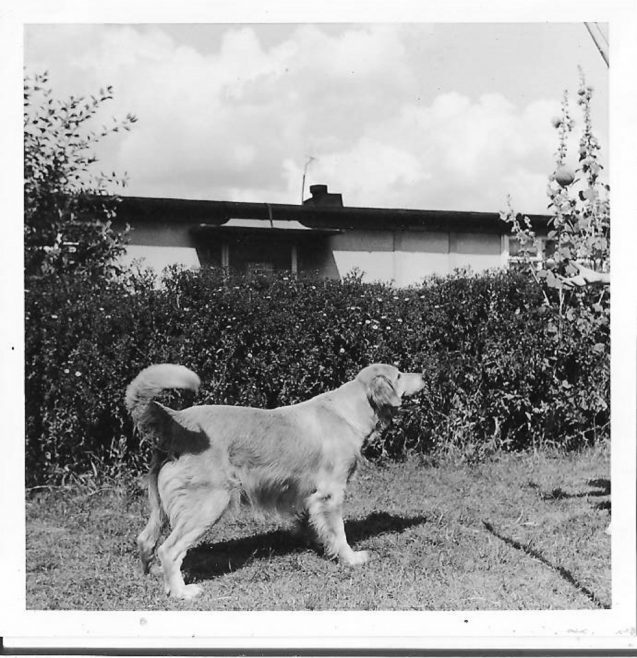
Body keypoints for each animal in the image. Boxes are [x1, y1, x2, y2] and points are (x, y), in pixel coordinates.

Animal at [125, 362, 422, 596]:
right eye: (399, 374)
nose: (424, 375)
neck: (348, 410)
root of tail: (178, 420)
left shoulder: (307, 495)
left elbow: (313, 524)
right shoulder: (330, 493)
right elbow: (338, 531)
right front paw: (351, 558)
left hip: (161, 506)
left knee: (145, 539)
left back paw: (154, 575)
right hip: (209, 503)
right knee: (169, 549)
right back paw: (182, 592)